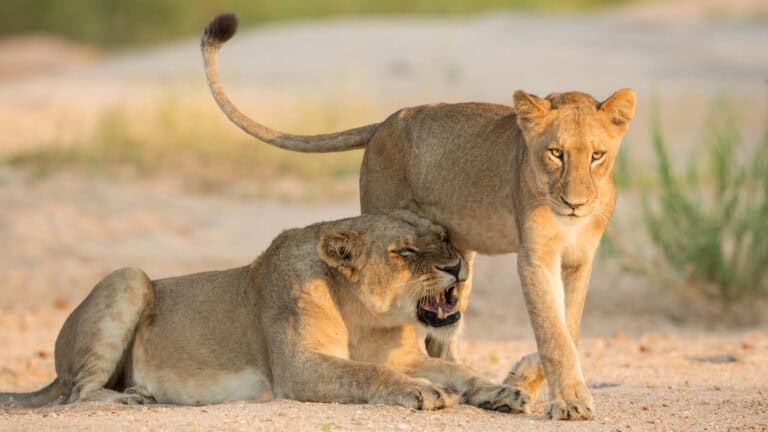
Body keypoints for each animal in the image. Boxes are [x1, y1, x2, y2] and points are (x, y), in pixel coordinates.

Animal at [0, 210, 528, 413]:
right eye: (405, 252)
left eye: (442, 237)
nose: (457, 266)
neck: (364, 314)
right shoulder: (299, 368)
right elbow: (369, 374)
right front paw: (425, 393)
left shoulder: (404, 355)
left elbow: (462, 372)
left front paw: (504, 392)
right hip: (129, 277)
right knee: (76, 393)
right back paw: (131, 399)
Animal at [200, 14, 636, 420]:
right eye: (556, 153)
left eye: (597, 155)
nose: (575, 203)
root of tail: (385, 122)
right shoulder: (535, 257)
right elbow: (552, 330)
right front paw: (569, 402)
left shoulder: (580, 258)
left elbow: (570, 327)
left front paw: (528, 381)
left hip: (462, 260)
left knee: (446, 330)